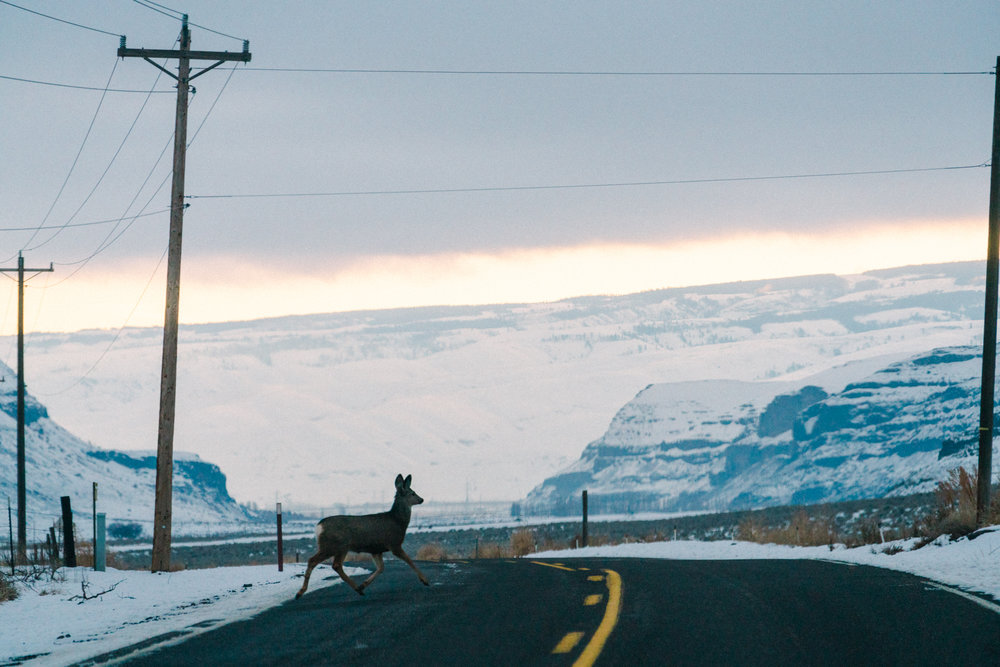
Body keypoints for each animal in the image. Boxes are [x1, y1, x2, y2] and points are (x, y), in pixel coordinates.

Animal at [292, 474, 428, 600]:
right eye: (412, 493)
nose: (422, 499)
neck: (398, 521)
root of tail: (318, 526)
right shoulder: (394, 544)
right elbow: (409, 560)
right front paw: (425, 580)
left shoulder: (376, 550)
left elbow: (381, 568)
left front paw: (363, 585)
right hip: (335, 546)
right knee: (318, 561)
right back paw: (300, 592)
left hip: (337, 547)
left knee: (334, 565)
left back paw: (358, 589)